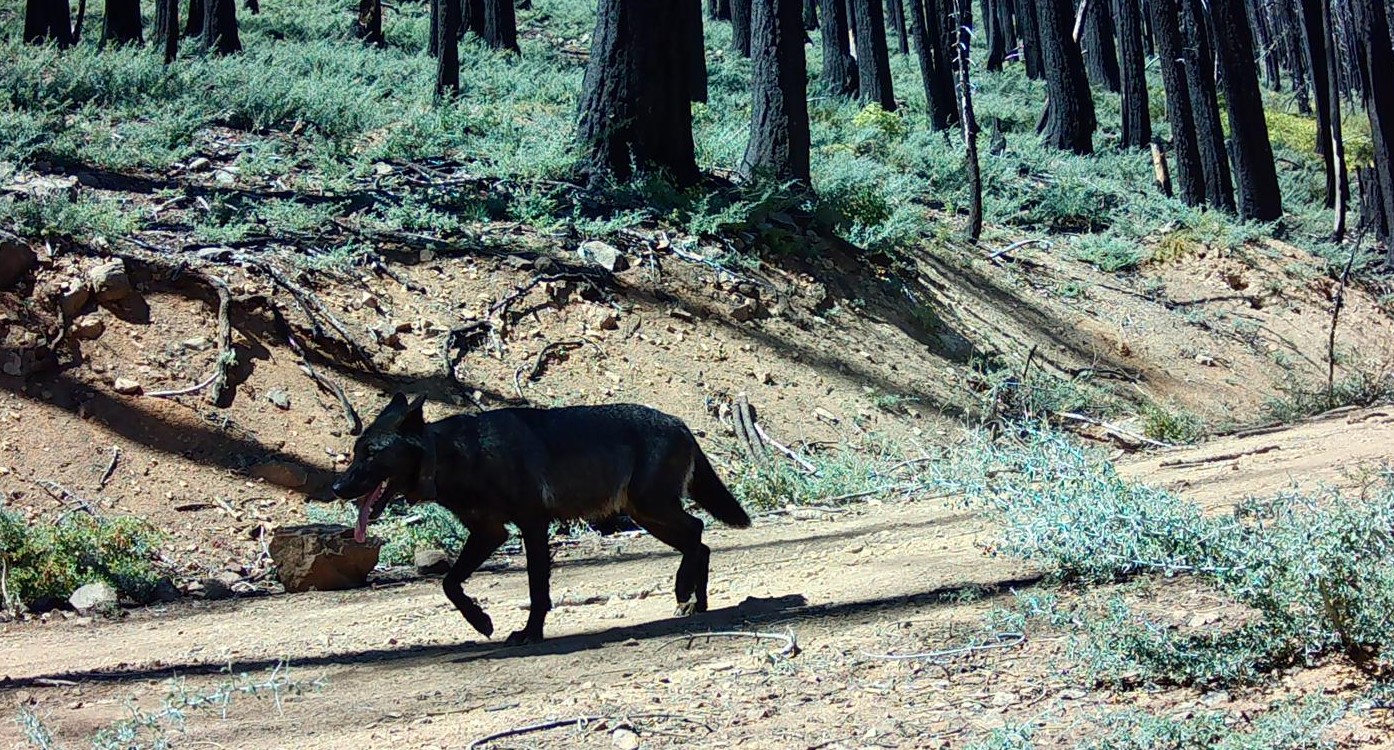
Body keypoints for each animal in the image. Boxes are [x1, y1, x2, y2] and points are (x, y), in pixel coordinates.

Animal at [331, 390, 752, 641]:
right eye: (355, 452)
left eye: (372, 454)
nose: (336, 487)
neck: (458, 456)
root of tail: (681, 423)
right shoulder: (491, 533)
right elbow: (450, 584)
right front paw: (481, 621)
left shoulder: (531, 526)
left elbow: (537, 589)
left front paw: (530, 632)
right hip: (648, 516)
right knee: (700, 539)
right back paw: (697, 603)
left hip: (653, 509)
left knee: (697, 532)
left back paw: (685, 594)